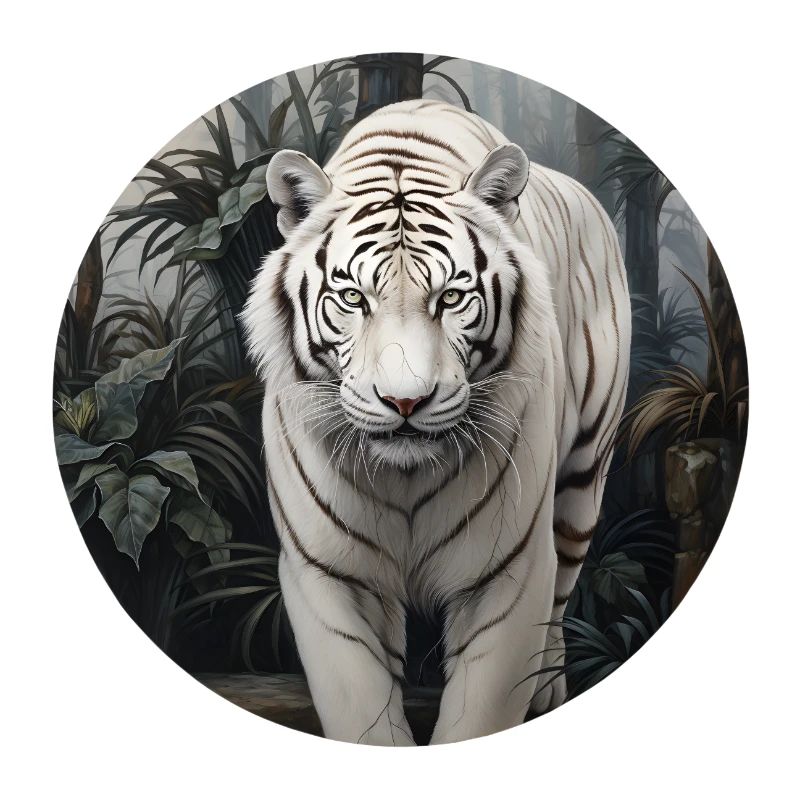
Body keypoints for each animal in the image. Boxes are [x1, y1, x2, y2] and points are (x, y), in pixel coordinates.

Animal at [242, 99, 630, 745]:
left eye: (451, 298)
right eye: (353, 299)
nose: (405, 402)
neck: (405, 479)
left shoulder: (506, 575)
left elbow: (482, 709)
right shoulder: (330, 575)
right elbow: (362, 713)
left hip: (582, 482)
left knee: (562, 585)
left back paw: (549, 687)